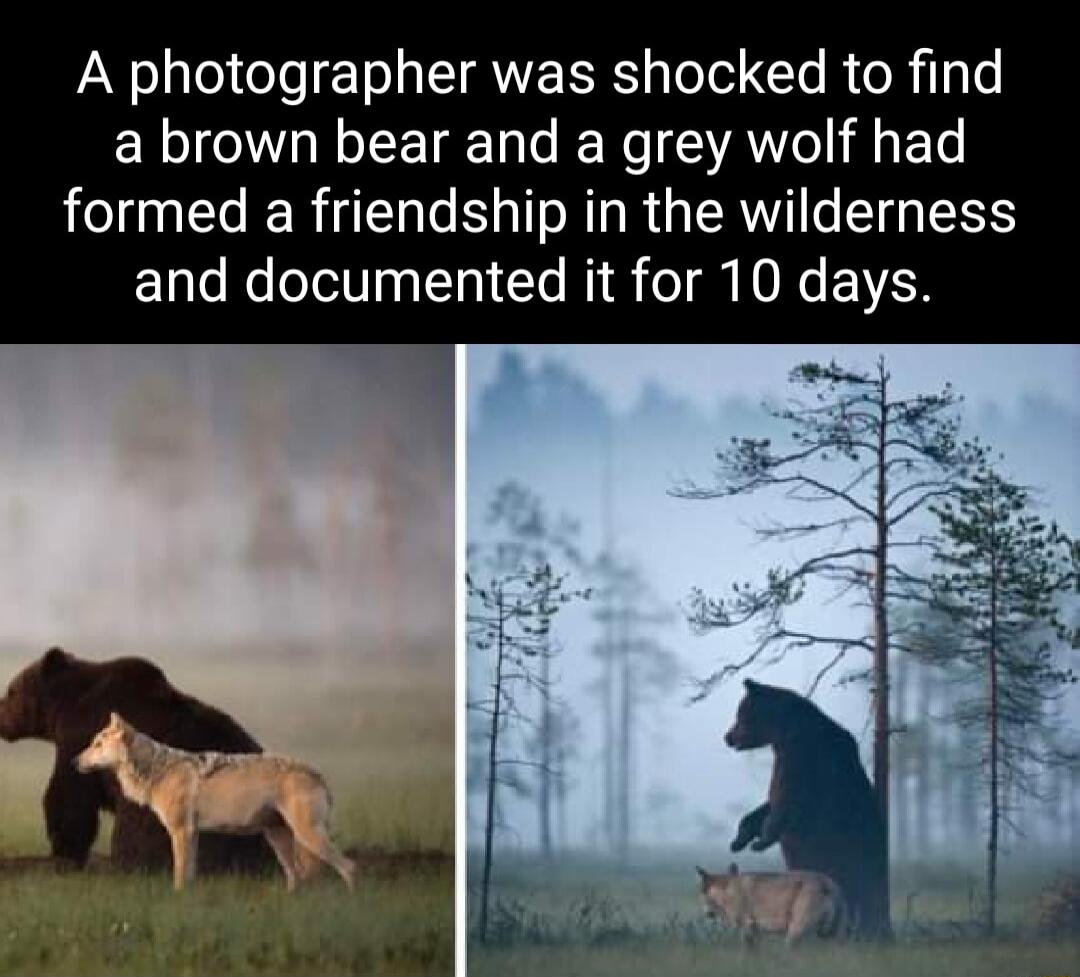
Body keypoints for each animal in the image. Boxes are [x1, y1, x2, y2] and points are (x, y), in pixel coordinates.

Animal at [0, 646, 272, 872]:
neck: (65, 705)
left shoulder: (78, 734)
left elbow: (70, 796)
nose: (1, 717)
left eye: (10, 690)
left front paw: (64, 852)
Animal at [75, 712, 356, 892]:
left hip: (307, 836)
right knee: (298, 876)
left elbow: (179, 875)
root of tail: (318, 775)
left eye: (97, 744)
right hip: (279, 839)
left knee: (349, 867)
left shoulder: (181, 831)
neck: (156, 769)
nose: (73, 761)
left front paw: (178, 898)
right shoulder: (192, 834)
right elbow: (189, 874)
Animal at [696, 862, 848, 945]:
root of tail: (828, 882)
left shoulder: (747, 927)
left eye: (702, 895)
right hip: (828, 935)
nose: (706, 914)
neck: (727, 889)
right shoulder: (755, 931)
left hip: (795, 933)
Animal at [724, 678, 889, 937]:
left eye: (740, 713)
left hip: (848, 859)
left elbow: (789, 802)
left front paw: (762, 840)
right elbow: (767, 804)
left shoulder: (805, 759)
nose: (728, 736)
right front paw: (740, 838)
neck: (786, 733)